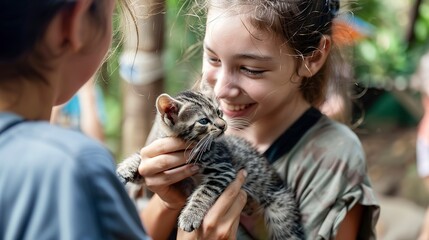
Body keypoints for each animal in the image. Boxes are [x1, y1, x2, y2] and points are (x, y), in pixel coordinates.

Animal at [115, 90, 302, 240]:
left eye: (219, 112)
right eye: (203, 121)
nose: (223, 125)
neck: (191, 145)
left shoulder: (223, 170)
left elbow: (203, 193)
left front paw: (190, 216)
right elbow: (144, 160)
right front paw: (127, 167)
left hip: (280, 208)